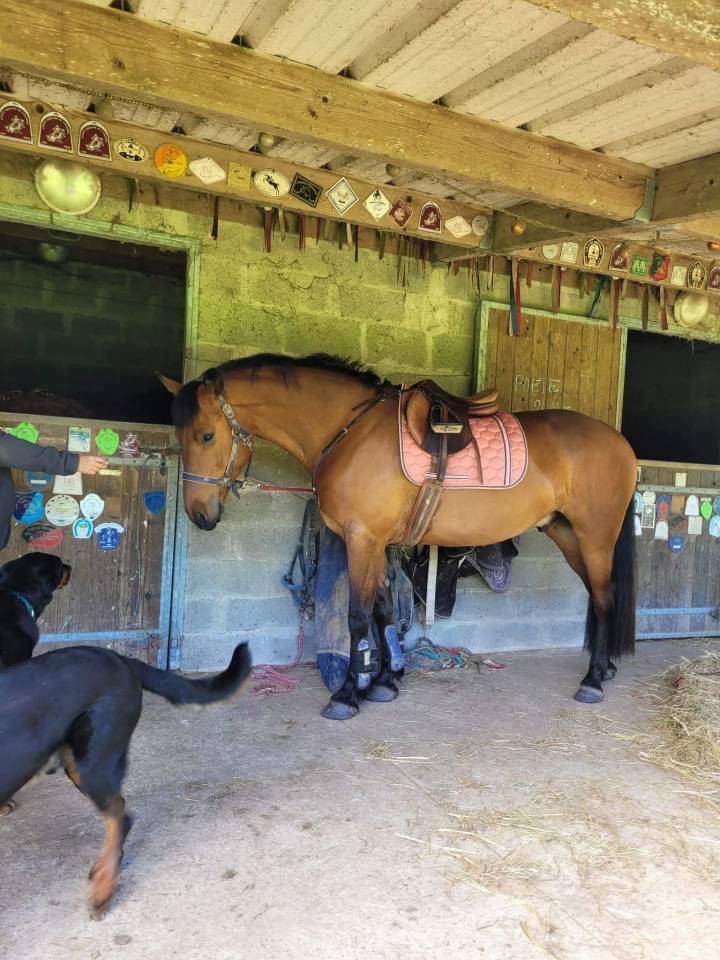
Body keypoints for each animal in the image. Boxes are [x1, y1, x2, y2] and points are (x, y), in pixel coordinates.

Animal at [160, 353, 637, 720]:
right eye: (181, 437)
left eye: (206, 435)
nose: (200, 515)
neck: (348, 432)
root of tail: (620, 442)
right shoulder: (379, 545)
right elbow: (384, 611)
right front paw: (385, 681)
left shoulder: (361, 539)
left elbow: (358, 616)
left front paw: (347, 694)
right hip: (566, 534)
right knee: (603, 593)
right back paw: (606, 668)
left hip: (594, 537)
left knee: (602, 596)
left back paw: (593, 680)